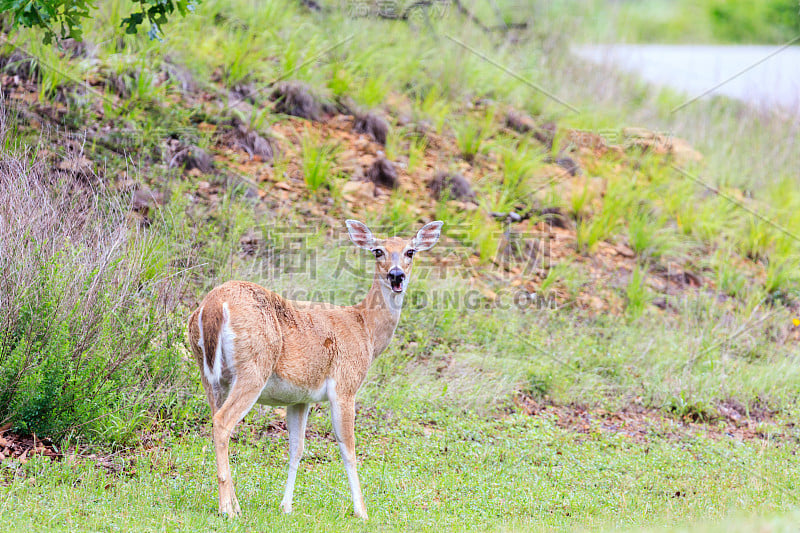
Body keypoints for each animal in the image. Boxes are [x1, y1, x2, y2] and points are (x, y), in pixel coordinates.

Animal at [186, 218, 444, 516]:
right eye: (377, 251)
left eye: (410, 251)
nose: (396, 275)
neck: (365, 328)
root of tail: (213, 306)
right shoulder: (345, 385)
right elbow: (347, 447)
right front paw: (362, 511)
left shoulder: (300, 398)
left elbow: (296, 449)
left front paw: (286, 506)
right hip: (254, 366)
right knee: (222, 422)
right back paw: (228, 508)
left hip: (209, 374)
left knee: (216, 419)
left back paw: (233, 504)